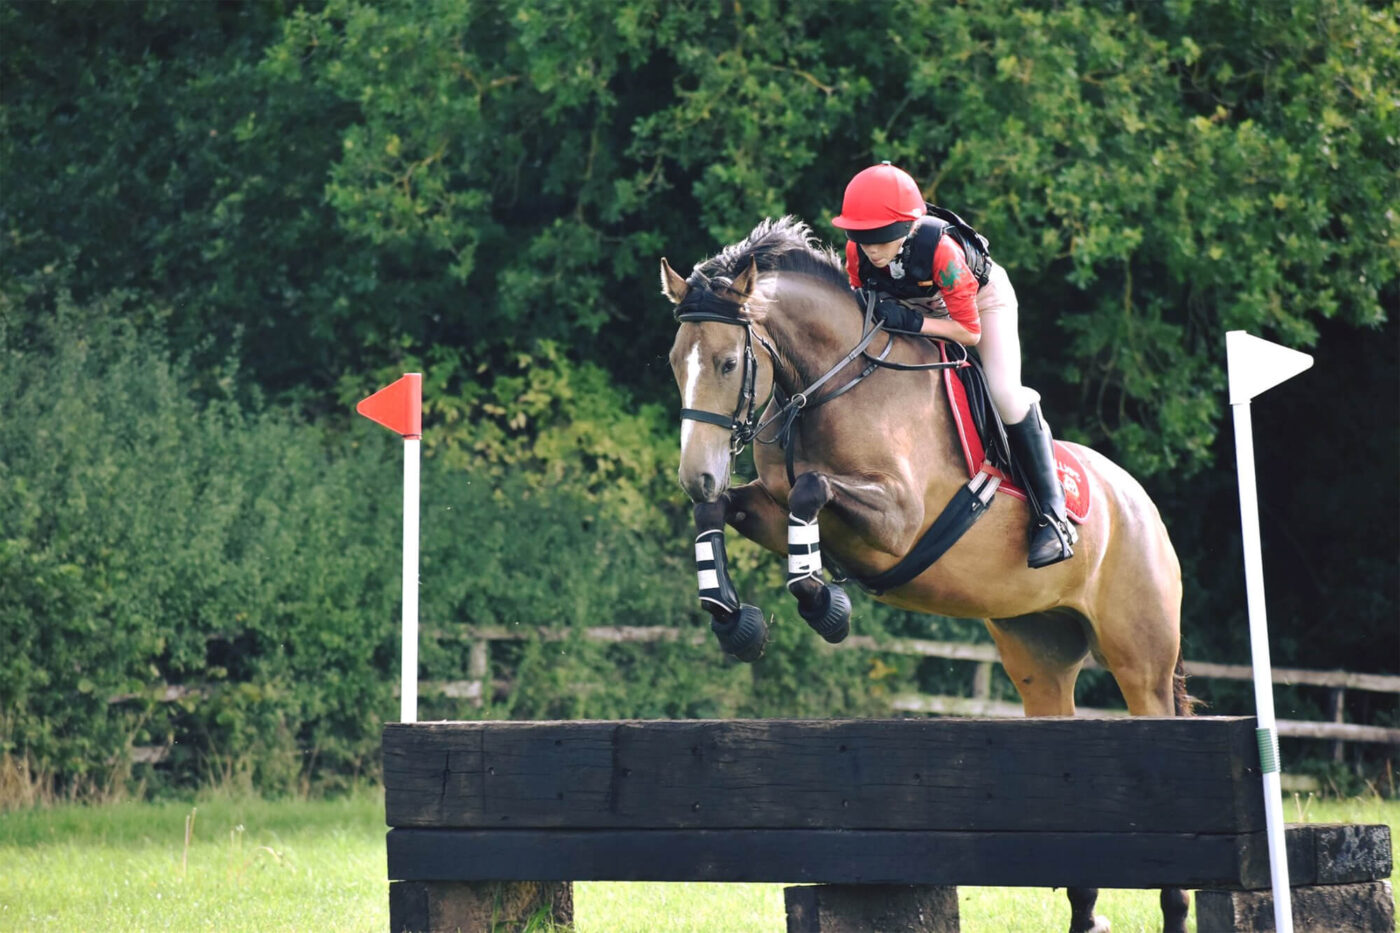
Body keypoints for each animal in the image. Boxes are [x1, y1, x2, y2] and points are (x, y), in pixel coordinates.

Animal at [660, 214, 1187, 930]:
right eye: (674, 363)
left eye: (728, 363)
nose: (696, 474)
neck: (828, 385)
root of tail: (1139, 502)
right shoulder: (767, 504)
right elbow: (728, 510)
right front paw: (732, 617)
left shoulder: (898, 520)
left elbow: (812, 492)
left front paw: (823, 604)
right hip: (1039, 656)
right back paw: (1085, 912)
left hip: (1141, 660)